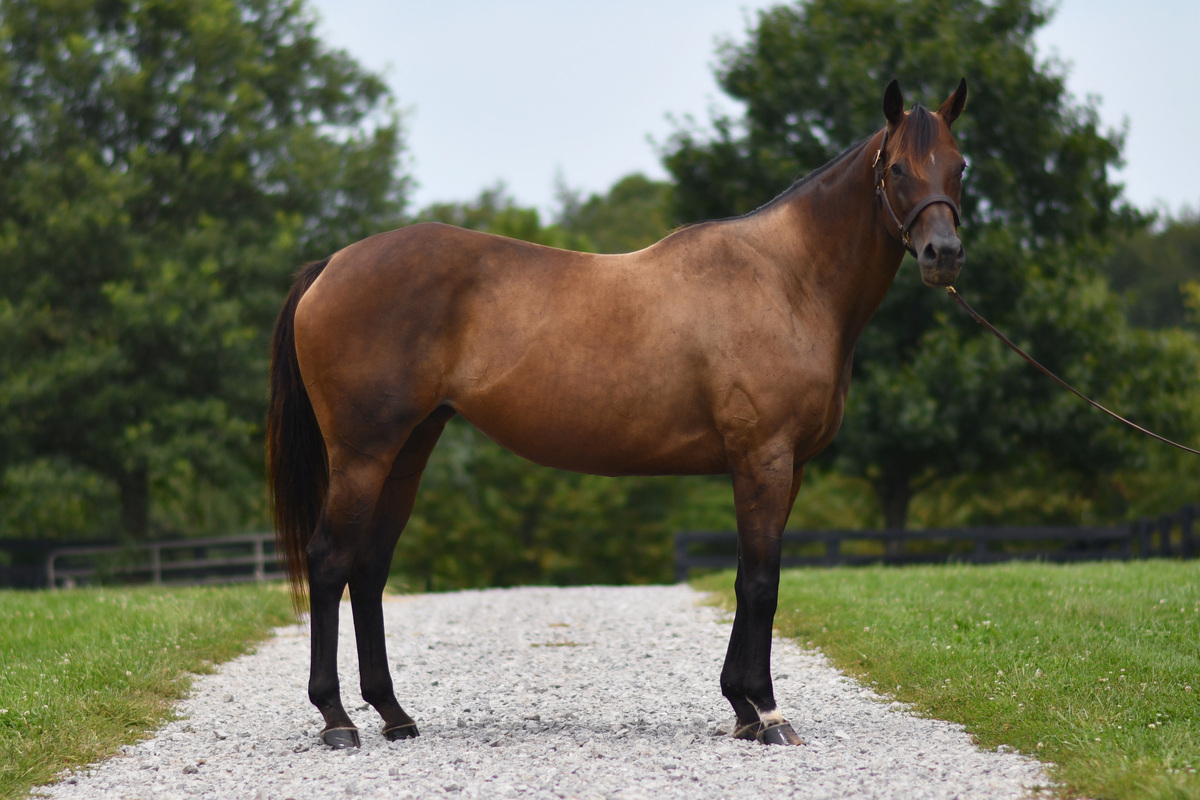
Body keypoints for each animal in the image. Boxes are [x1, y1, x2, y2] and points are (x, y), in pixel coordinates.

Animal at [267, 78, 969, 749]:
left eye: (959, 164)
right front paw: (767, 713)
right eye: (898, 168)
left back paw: (393, 713)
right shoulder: (764, 458)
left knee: (369, 568)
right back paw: (337, 719)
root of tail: (331, 265)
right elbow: (761, 583)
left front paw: (740, 707)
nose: (943, 254)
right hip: (363, 455)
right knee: (330, 561)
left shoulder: (783, 469)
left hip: (408, 451)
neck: (786, 280)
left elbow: (746, 577)